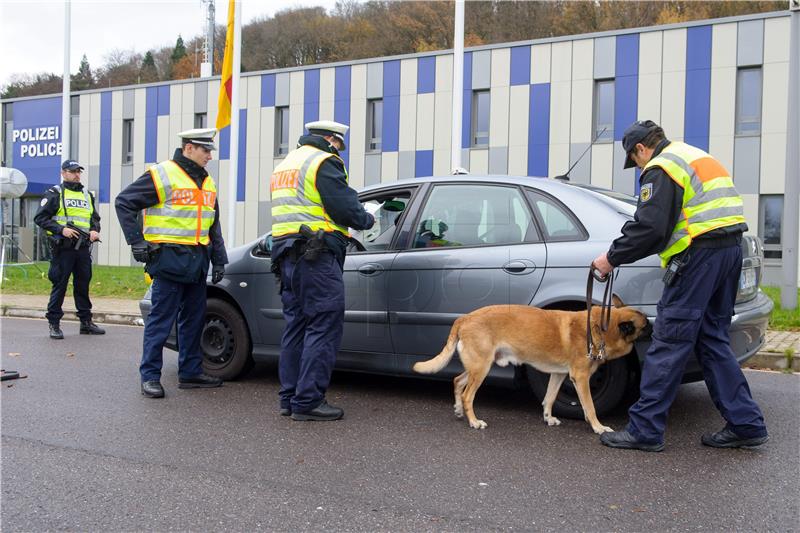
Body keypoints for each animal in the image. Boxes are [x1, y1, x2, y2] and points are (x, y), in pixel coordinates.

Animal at [412, 296, 648, 432]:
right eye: (646, 326)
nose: (655, 329)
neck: (599, 327)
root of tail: (465, 317)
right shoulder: (580, 378)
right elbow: (589, 407)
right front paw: (598, 427)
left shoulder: (559, 375)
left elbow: (549, 398)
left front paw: (548, 418)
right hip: (481, 368)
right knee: (467, 394)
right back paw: (473, 421)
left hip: (476, 367)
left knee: (457, 381)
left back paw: (460, 411)